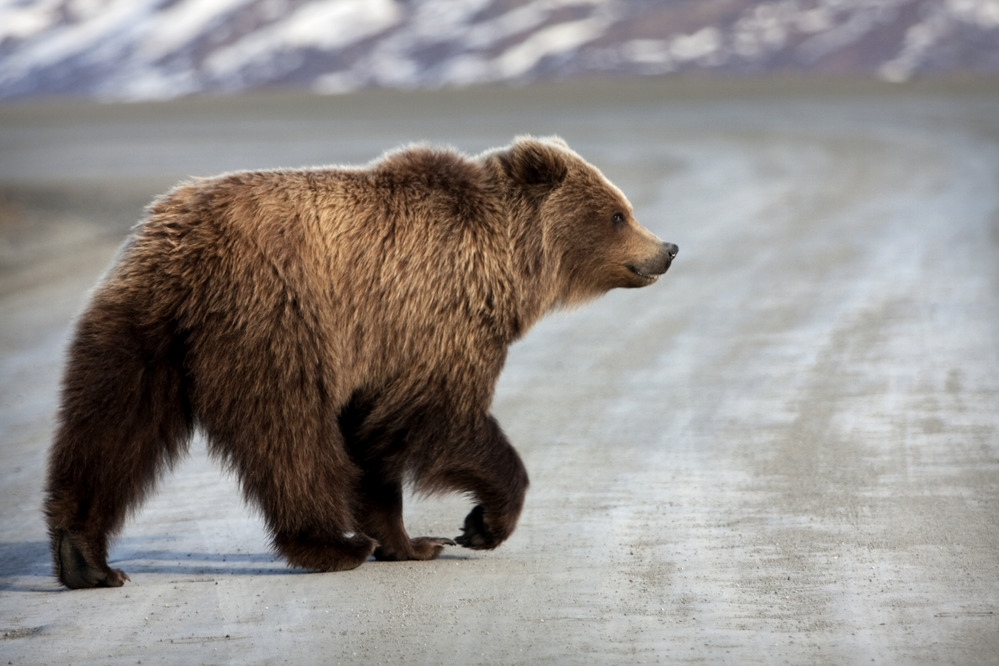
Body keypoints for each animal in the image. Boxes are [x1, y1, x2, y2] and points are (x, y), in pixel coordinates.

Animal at [41, 135, 680, 588]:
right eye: (617, 213)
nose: (668, 248)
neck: (504, 265)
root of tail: (179, 243)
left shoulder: (384, 349)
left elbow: (377, 439)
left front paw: (414, 541)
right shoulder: (432, 317)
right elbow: (436, 419)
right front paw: (480, 524)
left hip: (141, 326)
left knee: (112, 424)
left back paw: (85, 558)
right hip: (274, 319)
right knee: (289, 433)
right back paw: (330, 544)